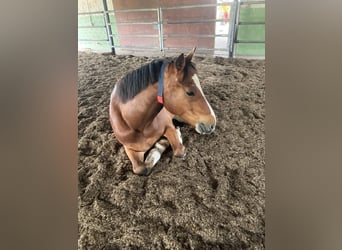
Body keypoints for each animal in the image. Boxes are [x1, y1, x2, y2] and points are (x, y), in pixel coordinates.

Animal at [109, 47, 216, 175]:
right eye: (190, 92)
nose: (212, 123)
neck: (137, 124)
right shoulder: (129, 147)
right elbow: (141, 168)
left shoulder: (168, 126)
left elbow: (179, 150)